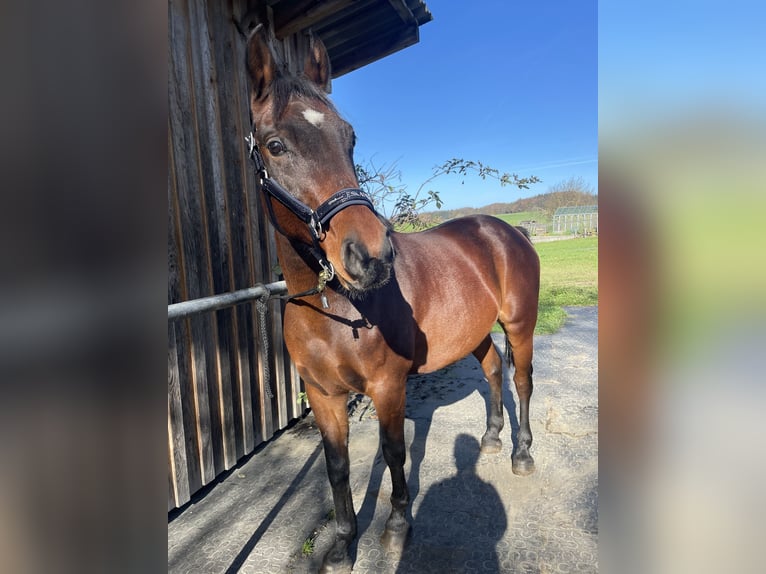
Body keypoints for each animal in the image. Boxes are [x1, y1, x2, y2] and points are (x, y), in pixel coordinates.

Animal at [244, 27, 539, 573]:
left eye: (350, 138)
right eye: (275, 145)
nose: (371, 255)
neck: (333, 310)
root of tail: (507, 230)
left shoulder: (387, 386)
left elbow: (395, 453)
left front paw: (397, 528)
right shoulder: (323, 394)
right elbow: (337, 466)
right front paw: (343, 542)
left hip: (520, 324)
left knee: (522, 382)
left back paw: (522, 454)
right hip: (475, 331)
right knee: (493, 370)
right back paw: (491, 438)